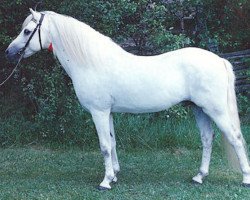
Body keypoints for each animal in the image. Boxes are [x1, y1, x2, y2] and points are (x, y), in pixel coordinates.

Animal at [4, 9, 249, 191]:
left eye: (27, 31)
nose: (8, 52)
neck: (91, 62)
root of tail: (219, 60)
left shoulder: (99, 112)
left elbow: (104, 146)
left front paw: (105, 182)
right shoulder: (108, 113)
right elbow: (112, 143)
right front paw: (114, 175)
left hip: (215, 110)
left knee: (235, 138)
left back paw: (245, 179)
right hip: (199, 109)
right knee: (207, 139)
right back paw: (199, 177)